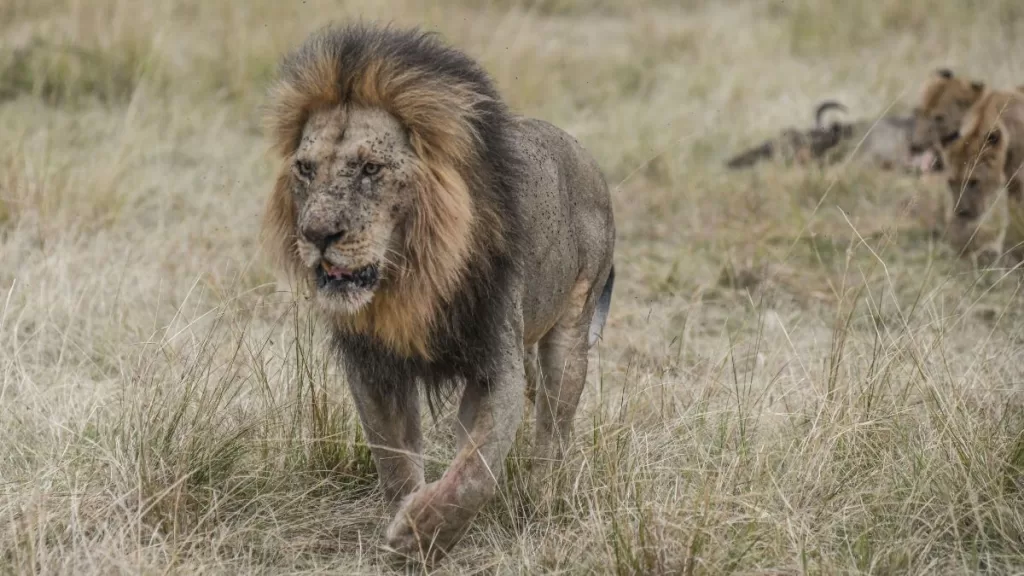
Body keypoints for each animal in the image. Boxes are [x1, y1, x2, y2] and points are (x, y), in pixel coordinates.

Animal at [262, 24, 616, 560]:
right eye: (304, 169)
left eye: (370, 168)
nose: (317, 234)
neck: (408, 280)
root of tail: (583, 153)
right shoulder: (375, 368)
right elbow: (395, 462)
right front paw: (407, 519)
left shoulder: (494, 363)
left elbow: (476, 471)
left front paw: (420, 534)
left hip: (572, 328)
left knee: (554, 426)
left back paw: (541, 499)